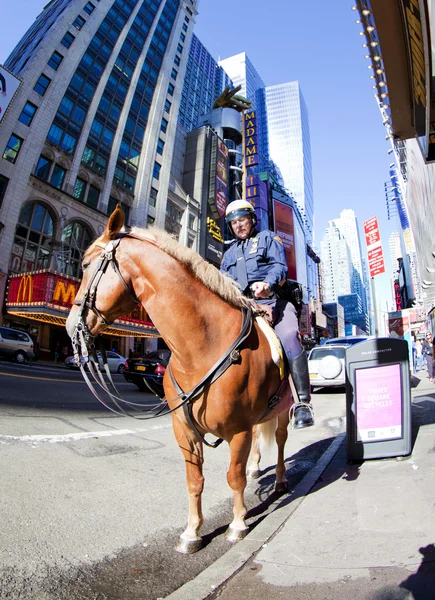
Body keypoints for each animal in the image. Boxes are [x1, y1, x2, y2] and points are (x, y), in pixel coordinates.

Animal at [65, 206, 296, 552]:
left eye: (85, 265)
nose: (70, 326)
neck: (201, 348)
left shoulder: (238, 430)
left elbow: (234, 476)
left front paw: (238, 524)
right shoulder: (184, 430)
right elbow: (194, 481)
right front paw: (192, 532)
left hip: (284, 410)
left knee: (280, 441)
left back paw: (280, 479)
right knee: (261, 439)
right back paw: (259, 468)